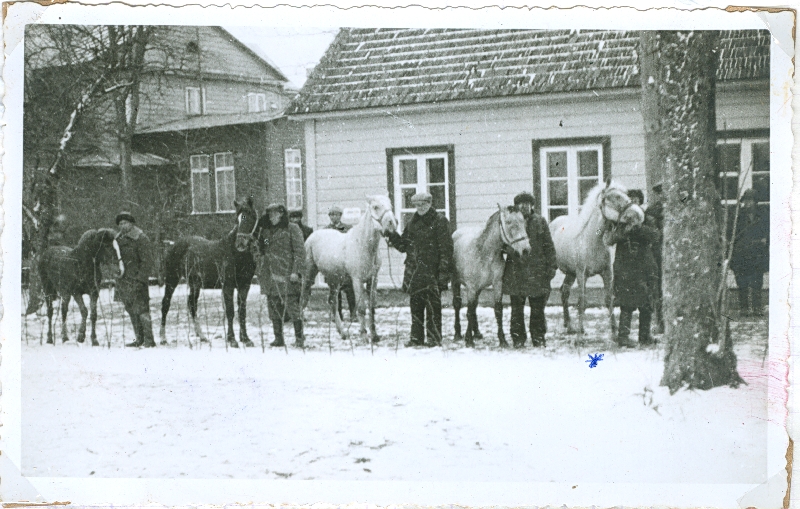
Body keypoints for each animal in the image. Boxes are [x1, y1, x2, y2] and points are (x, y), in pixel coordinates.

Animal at [161, 196, 260, 348]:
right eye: (236, 220)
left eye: (248, 216)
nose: (240, 244)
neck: (236, 254)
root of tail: (174, 245)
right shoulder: (228, 286)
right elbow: (230, 312)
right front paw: (232, 340)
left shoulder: (245, 286)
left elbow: (242, 311)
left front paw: (246, 339)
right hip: (172, 280)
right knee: (166, 303)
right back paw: (162, 337)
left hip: (195, 284)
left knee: (192, 304)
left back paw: (202, 336)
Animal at [302, 193, 398, 342]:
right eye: (375, 207)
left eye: (391, 206)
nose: (392, 224)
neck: (363, 245)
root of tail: (312, 236)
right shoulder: (357, 280)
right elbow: (361, 307)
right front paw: (364, 335)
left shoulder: (373, 279)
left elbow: (372, 306)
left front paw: (374, 335)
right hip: (309, 274)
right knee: (303, 299)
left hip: (334, 280)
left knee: (332, 302)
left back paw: (342, 332)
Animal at [450, 204, 532, 348]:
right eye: (509, 223)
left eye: (524, 222)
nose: (526, 250)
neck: (485, 253)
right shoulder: (471, 287)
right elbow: (468, 310)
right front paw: (468, 340)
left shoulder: (497, 284)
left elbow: (497, 310)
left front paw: (502, 340)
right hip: (456, 281)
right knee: (458, 304)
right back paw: (458, 334)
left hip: (478, 288)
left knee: (474, 306)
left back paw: (476, 333)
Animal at [552, 179, 644, 338]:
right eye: (615, 197)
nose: (639, 215)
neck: (592, 241)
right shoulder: (581, 274)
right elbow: (582, 302)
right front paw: (580, 335)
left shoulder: (607, 272)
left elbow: (609, 300)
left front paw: (614, 332)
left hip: (570, 273)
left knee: (564, 292)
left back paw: (569, 326)